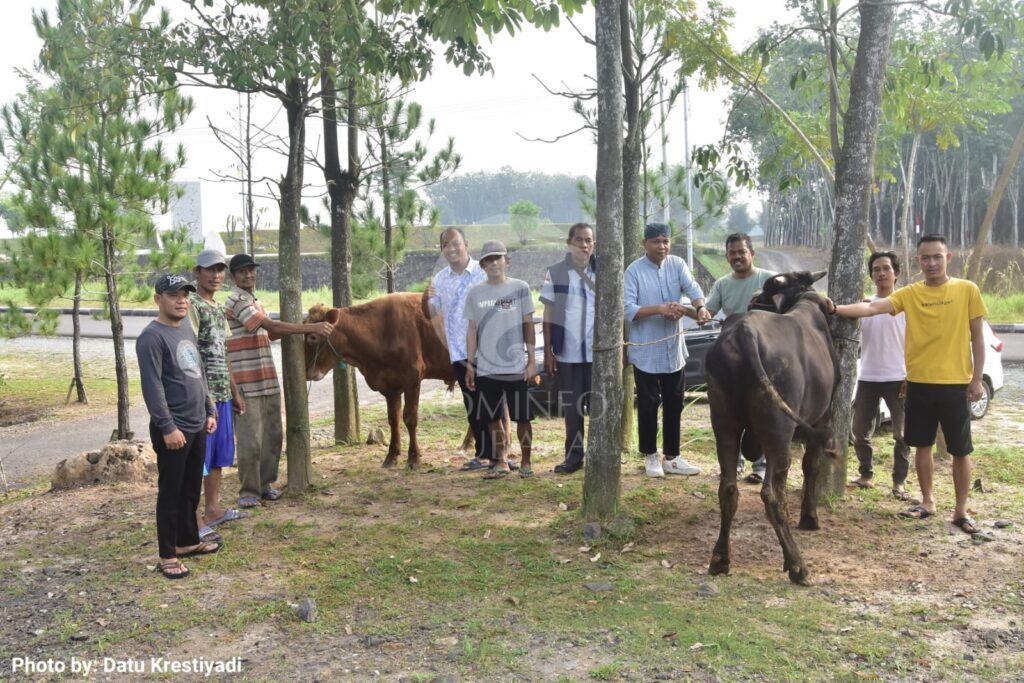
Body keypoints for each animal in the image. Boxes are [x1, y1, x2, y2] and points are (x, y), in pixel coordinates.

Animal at [299, 290, 452, 466]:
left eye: (312, 337)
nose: (305, 370)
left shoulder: (412, 378)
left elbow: (410, 418)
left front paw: (414, 457)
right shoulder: (390, 386)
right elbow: (393, 419)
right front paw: (392, 455)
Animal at [704, 270, 839, 585]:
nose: (753, 299)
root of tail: (744, 332)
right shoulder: (822, 418)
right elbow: (811, 466)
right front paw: (810, 517)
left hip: (724, 423)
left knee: (728, 489)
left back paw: (720, 559)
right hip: (779, 432)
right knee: (773, 495)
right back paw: (797, 565)